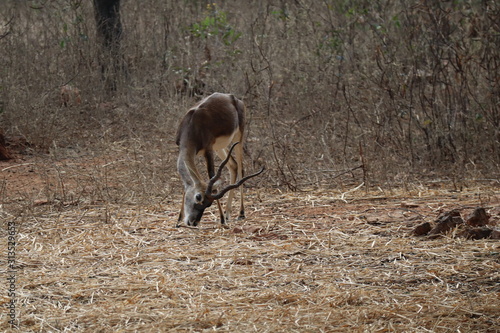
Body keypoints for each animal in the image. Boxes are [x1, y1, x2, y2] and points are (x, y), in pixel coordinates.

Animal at [175, 92, 264, 227]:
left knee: (241, 169)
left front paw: (222, 219)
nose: (193, 222)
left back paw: (240, 213)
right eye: (198, 197)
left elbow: (212, 175)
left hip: (238, 137)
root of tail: (231, 97)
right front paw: (179, 219)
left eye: (208, 204)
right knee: (233, 165)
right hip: (219, 147)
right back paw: (228, 214)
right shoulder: (183, 147)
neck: (193, 124)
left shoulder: (208, 150)